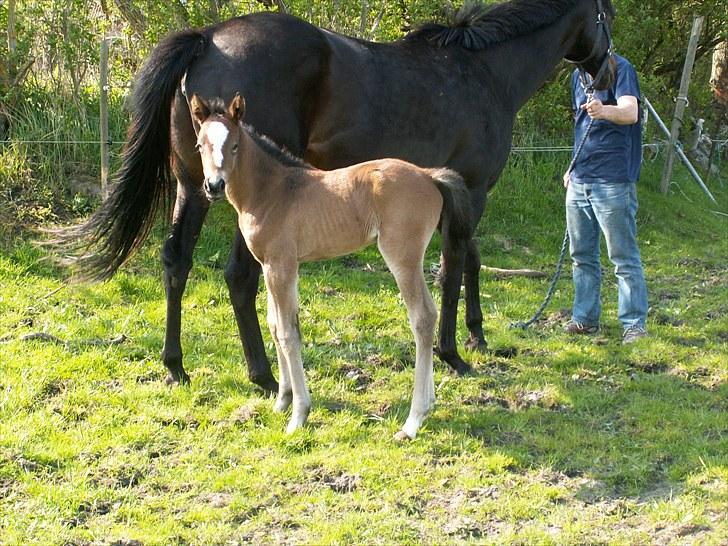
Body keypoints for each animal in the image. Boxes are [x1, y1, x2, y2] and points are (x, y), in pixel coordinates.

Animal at [57, 1, 616, 392]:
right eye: (606, 17)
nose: (608, 77)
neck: (483, 73)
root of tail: (208, 39)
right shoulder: (473, 190)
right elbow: (455, 267)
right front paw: (453, 353)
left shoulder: (465, 192)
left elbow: (472, 262)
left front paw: (477, 336)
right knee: (239, 275)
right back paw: (263, 374)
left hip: (194, 188)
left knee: (176, 261)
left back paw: (176, 366)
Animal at [191, 91, 472, 436]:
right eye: (200, 145)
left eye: (234, 145)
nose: (214, 186)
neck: (273, 191)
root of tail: (429, 176)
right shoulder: (272, 265)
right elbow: (274, 325)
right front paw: (282, 401)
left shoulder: (281, 266)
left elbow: (288, 332)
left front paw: (298, 415)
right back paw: (429, 404)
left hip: (402, 256)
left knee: (422, 317)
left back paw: (412, 421)